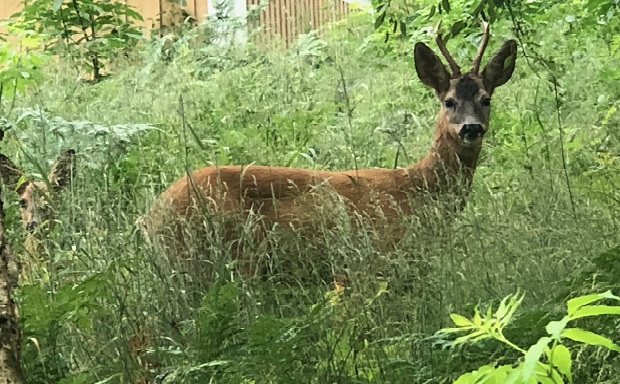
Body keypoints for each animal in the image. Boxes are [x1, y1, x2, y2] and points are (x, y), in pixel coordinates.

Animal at [142, 22, 520, 284]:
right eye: (449, 101)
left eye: (486, 99)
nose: (471, 128)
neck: (418, 188)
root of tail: (151, 214)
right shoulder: (379, 258)